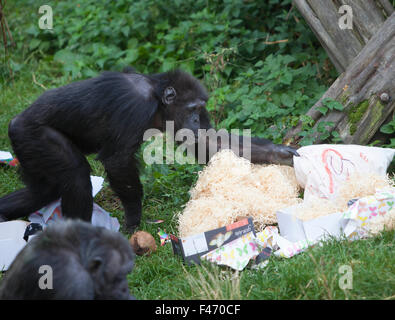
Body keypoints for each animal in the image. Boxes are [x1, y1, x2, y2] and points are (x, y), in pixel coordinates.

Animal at [0, 69, 298, 231]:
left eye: (201, 108)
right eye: (193, 108)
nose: (197, 119)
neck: (156, 99)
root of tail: (14, 124)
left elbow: (206, 141)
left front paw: (280, 154)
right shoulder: (135, 107)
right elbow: (118, 160)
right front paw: (133, 217)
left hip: (29, 150)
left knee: (42, 190)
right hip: (36, 137)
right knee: (75, 178)